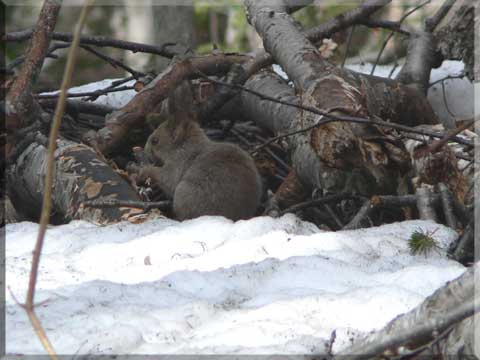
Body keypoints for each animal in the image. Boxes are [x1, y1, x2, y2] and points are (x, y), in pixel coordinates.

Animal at [137, 81, 262, 221]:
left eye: (155, 141)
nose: (145, 150)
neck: (183, 146)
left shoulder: (178, 164)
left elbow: (167, 180)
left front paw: (145, 170)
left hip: (183, 193)